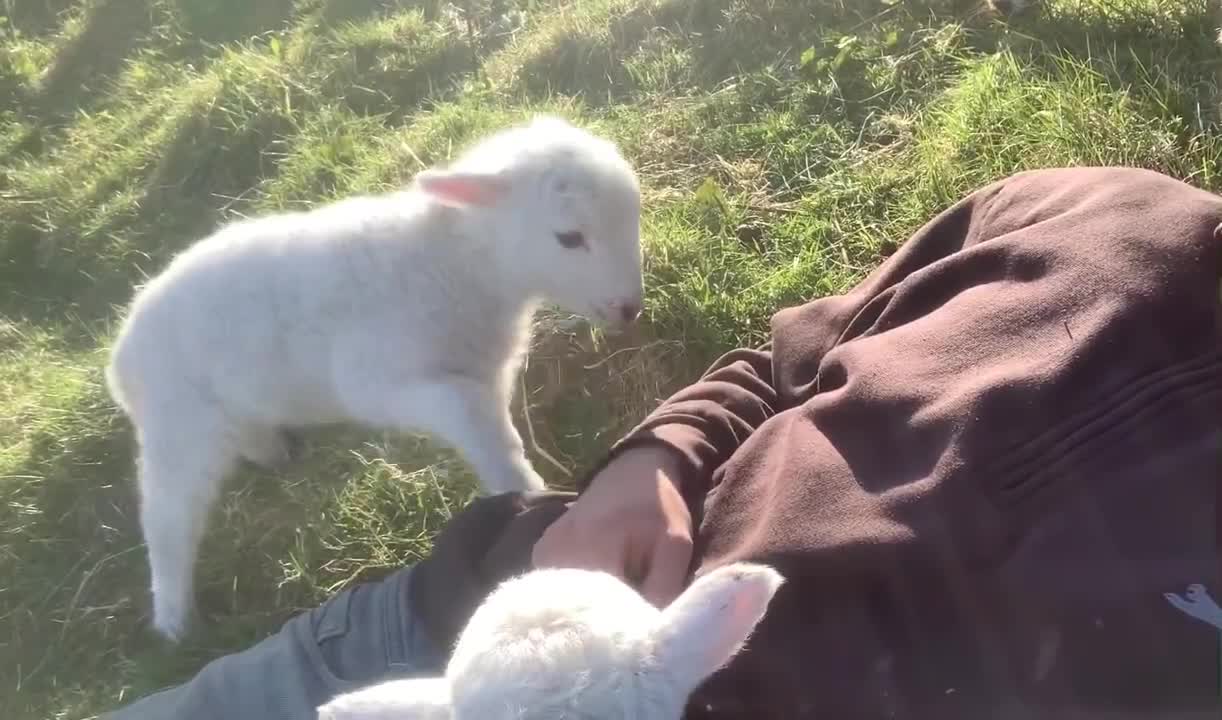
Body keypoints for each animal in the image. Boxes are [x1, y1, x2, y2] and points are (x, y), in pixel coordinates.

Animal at [102, 113, 650, 640]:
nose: (630, 309)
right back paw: (175, 620)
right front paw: (528, 493)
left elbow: (493, 436)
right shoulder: (376, 379)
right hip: (179, 426)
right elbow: (460, 412)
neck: (454, 263)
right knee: (167, 517)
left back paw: (271, 451)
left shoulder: (485, 374)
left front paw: (519, 487)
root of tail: (121, 357)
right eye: (569, 238)